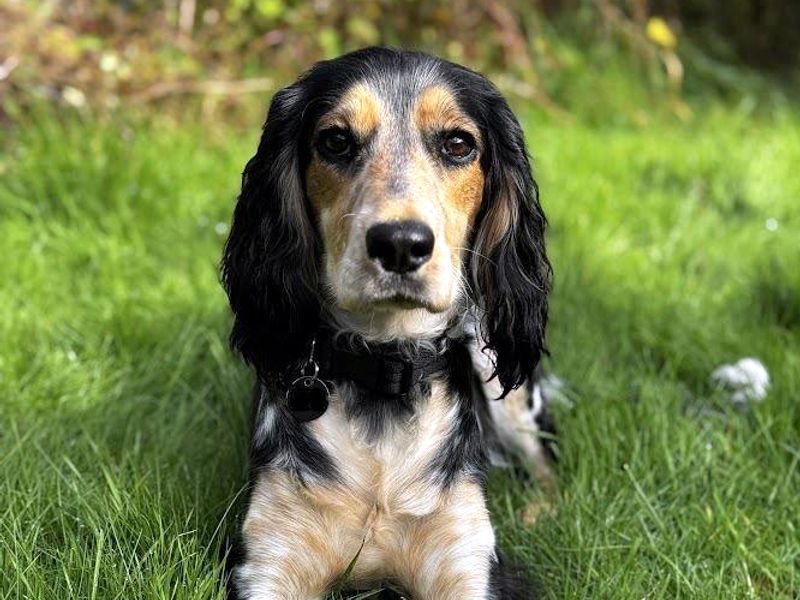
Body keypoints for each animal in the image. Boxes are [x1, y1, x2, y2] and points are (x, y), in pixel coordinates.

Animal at [222, 48, 552, 600]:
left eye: (458, 144)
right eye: (335, 141)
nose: (400, 243)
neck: (385, 368)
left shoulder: (466, 559)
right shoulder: (269, 557)